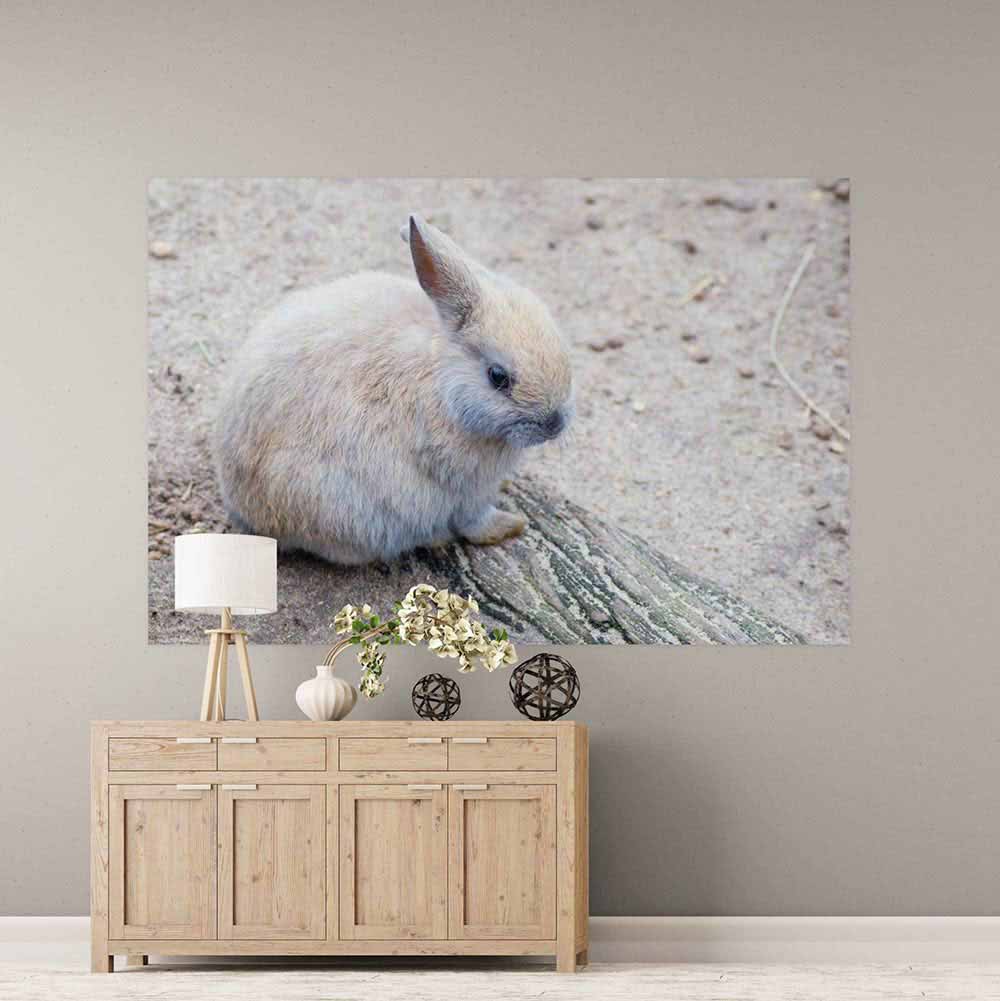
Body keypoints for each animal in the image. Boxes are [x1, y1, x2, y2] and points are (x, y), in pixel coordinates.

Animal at [214, 215, 573, 565]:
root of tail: (249, 514)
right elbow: (474, 520)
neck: (444, 379)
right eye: (497, 377)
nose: (554, 425)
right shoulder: (465, 489)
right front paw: (511, 526)